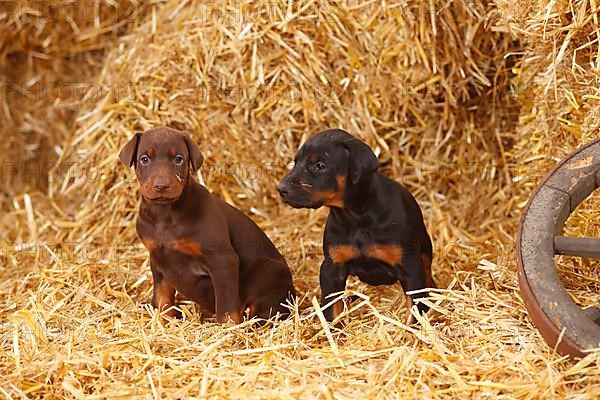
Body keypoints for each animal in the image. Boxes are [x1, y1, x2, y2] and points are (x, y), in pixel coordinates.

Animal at [119, 126, 296, 324]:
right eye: (145, 159)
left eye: (178, 159)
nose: (162, 186)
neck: (164, 215)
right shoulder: (158, 260)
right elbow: (162, 300)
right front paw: (163, 322)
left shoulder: (222, 261)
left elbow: (227, 308)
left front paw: (228, 328)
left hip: (267, 273)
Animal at [276, 130, 436, 324]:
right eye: (296, 162)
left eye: (320, 165)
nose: (281, 189)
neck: (357, 218)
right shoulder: (332, 267)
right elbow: (332, 307)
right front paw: (334, 328)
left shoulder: (410, 267)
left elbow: (414, 306)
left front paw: (411, 328)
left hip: (425, 249)